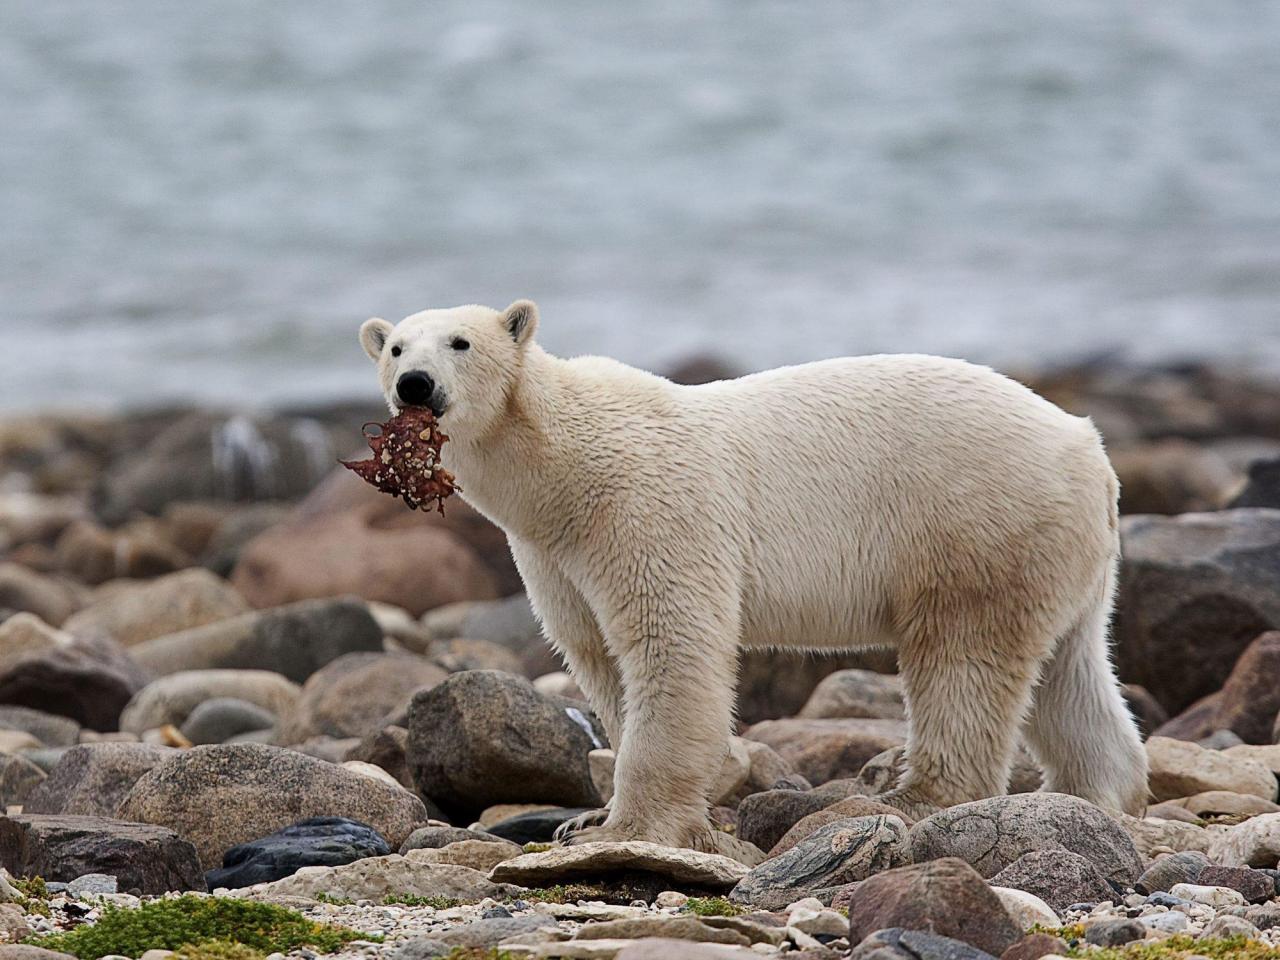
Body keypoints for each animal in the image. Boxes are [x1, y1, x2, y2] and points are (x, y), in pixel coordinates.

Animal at [358, 300, 1152, 849]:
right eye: (395, 346)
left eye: (460, 341)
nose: (416, 384)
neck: (563, 466)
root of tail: (1088, 447)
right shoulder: (552, 553)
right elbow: (597, 656)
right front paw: (585, 821)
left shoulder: (646, 508)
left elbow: (671, 643)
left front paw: (629, 826)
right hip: (1057, 552)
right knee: (1071, 671)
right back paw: (1097, 794)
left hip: (975, 522)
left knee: (963, 660)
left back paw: (913, 798)